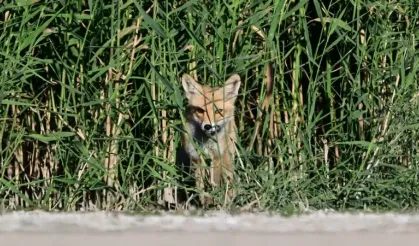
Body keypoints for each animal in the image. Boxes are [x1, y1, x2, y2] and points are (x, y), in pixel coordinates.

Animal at [179, 73, 241, 206]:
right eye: (200, 110)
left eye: (218, 111)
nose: (208, 126)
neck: (206, 141)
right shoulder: (197, 158)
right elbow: (201, 185)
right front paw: (204, 202)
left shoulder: (217, 156)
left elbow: (215, 182)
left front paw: (215, 201)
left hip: (227, 156)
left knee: (229, 178)